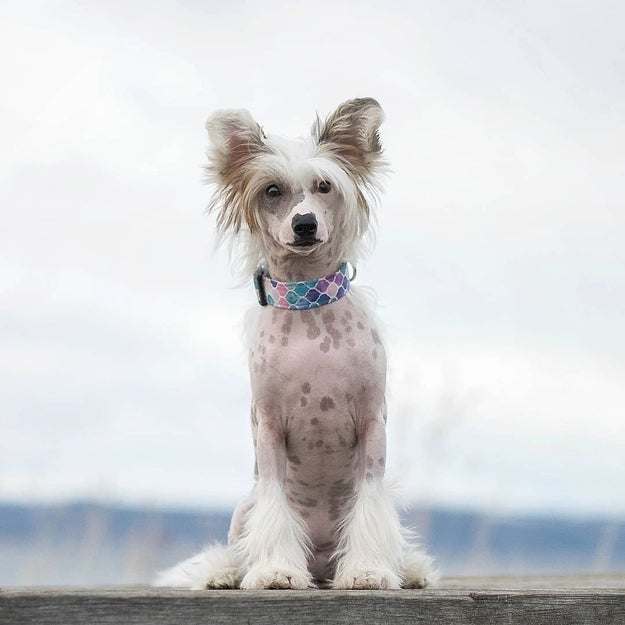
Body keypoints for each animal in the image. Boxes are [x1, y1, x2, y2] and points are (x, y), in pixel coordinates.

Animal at [156, 97, 436, 588]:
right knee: (235, 548)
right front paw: (274, 571)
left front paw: (367, 570)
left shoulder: (372, 425)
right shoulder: (268, 429)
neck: (309, 305)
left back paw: (410, 571)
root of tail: (321, 563)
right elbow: (273, 505)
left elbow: (370, 502)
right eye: (272, 191)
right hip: (242, 511)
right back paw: (224, 574)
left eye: (324, 186)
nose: (304, 223)